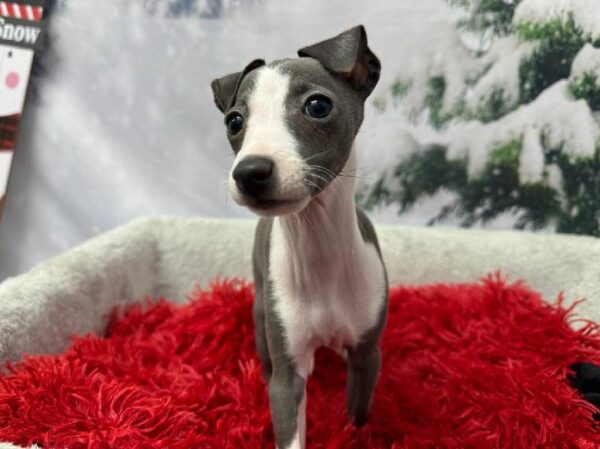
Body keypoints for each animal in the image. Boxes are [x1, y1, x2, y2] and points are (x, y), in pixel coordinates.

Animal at [211, 25, 390, 448]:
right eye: (234, 122)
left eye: (318, 106)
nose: (250, 172)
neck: (318, 246)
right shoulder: (288, 376)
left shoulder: (367, 354)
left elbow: (358, 417)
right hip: (262, 306)